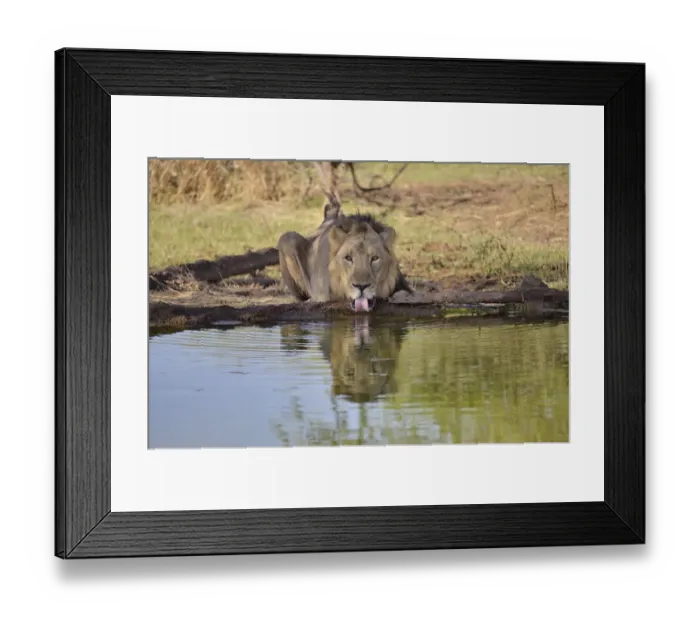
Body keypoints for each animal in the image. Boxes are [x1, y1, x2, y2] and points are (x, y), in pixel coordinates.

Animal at [277, 199, 412, 312]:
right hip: (288, 238)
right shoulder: (323, 294)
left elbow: (407, 293)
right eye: (348, 258)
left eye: (374, 258)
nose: (361, 286)